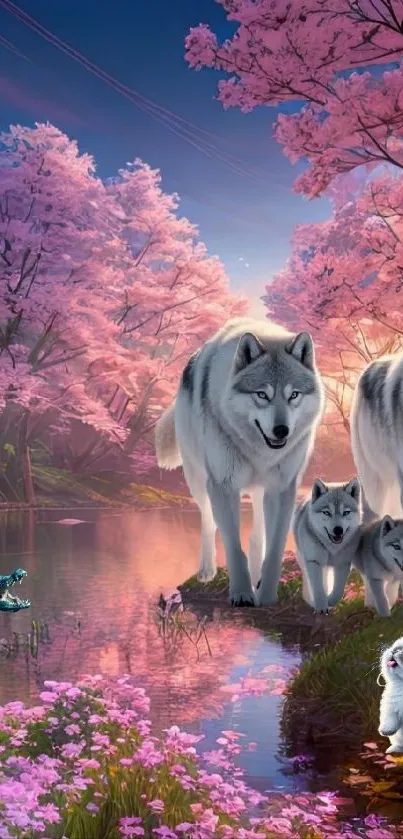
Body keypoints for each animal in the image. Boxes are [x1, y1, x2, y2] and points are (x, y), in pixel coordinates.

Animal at [155, 316, 324, 607]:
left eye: (293, 395)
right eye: (262, 394)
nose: (282, 431)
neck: (259, 450)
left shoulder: (283, 488)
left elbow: (275, 546)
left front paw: (265, 594)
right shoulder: (223, 486)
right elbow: (233, 546)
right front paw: (243, 593)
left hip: (260, 491)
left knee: (257, 536)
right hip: (199, 482)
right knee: (208, 522)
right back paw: (207, 571)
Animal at [293, 478, 362, 613]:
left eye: (346, 512)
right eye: (326, 512)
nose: (338, 530)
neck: (332, 548)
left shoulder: (343, 563)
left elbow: (338, 591)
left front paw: (330, 601)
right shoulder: (314, 562)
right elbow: (318, 588)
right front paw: (321, 607)